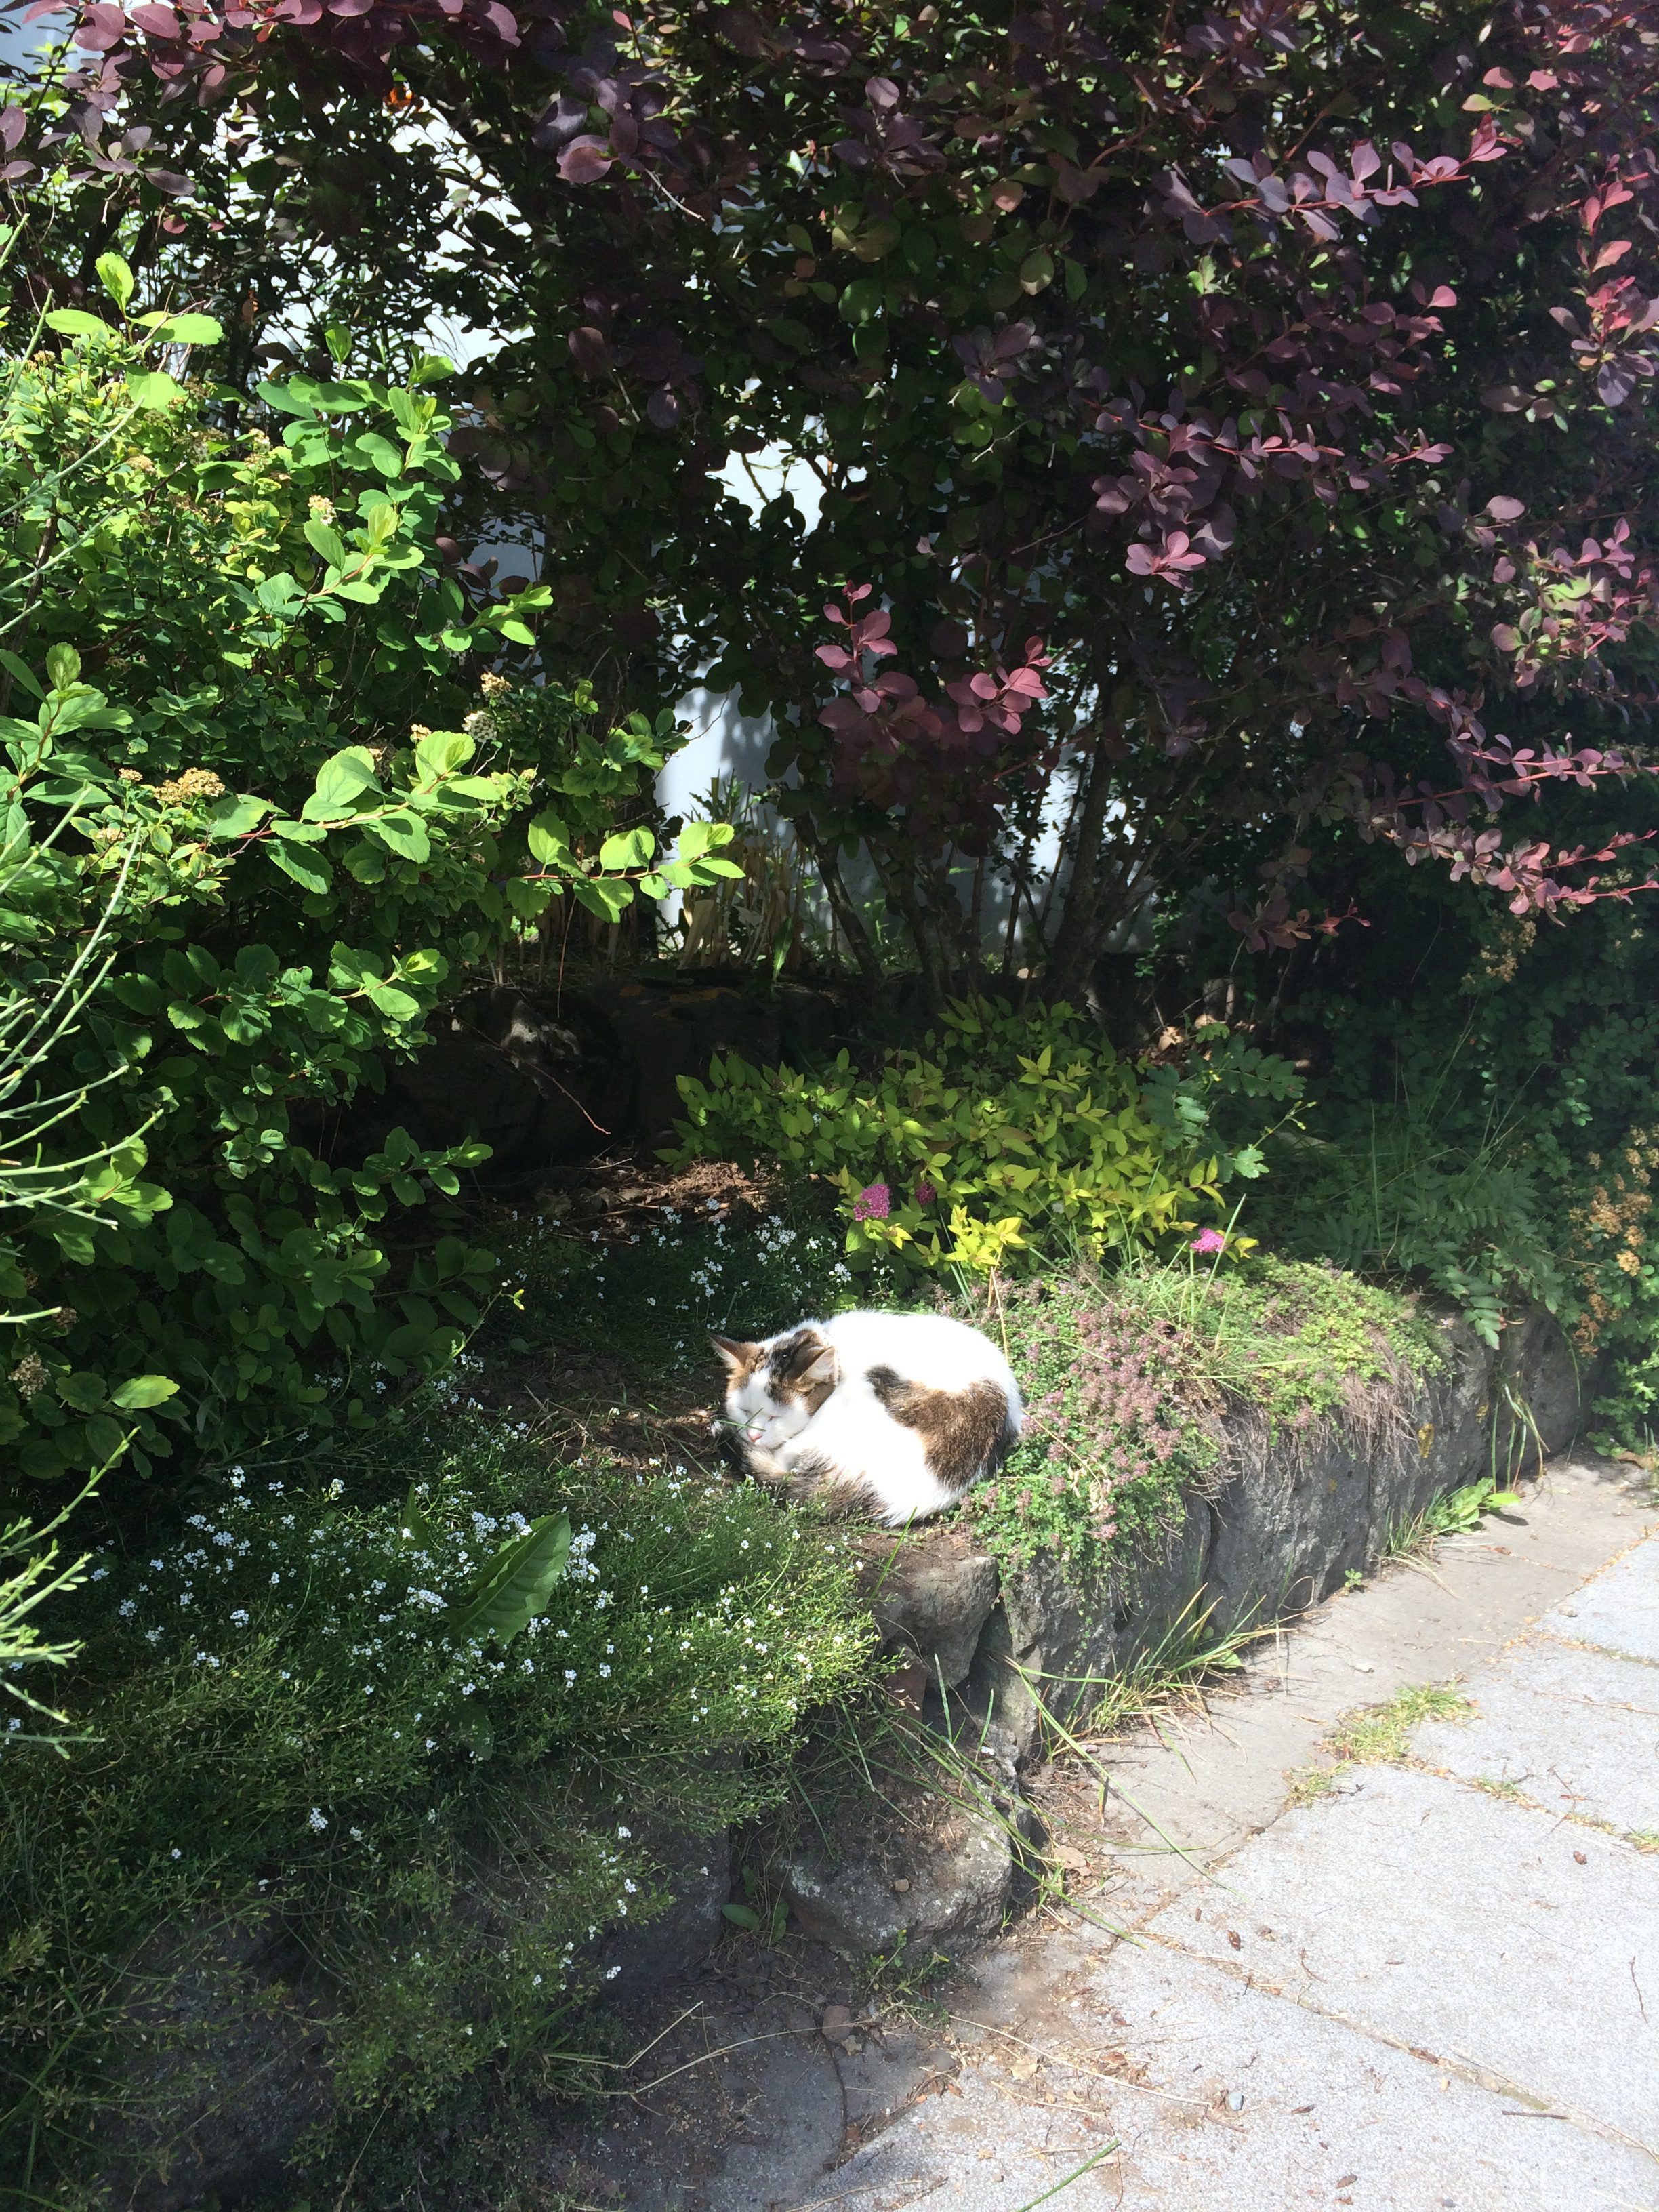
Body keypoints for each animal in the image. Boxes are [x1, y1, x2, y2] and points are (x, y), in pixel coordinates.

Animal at [716, 1300, 1026, 1530]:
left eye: (774, 1418)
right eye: (744, 1410)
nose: (753, 1436)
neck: (830, 1341)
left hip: (858, 1394)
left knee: (785, 1458)